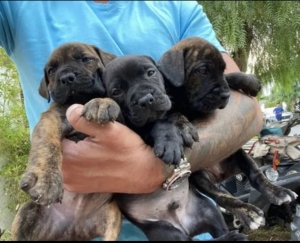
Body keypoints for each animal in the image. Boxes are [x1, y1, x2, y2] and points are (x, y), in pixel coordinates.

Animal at [11, 42, 122, 241]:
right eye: (51, 71)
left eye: (86, 59)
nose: (66, 77)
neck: (79, 100)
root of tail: (72, 228)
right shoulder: (52, 118)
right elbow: (47, 146)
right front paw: (46, 180)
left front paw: (101, 102)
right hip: (25, 211)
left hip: (112, 214)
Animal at [82, 54, 248, 241]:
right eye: (116, 91)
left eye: (150, 73)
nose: (145, 99)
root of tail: (184, 226)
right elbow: (157, 123)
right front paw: (169, 143)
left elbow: (170, 115)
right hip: (165, 231)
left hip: (208, 211)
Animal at [157, 36, 298, 230]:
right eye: (202, 70)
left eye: (222, 68)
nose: (225, 95)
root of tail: (221, 175)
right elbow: (173, 112)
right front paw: (182, 126)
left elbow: (228, 78)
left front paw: (249, 81)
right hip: (199, 177)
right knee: (222, 197)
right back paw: (249, 213)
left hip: (239, 156)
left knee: (256, 176)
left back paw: (278, 192)